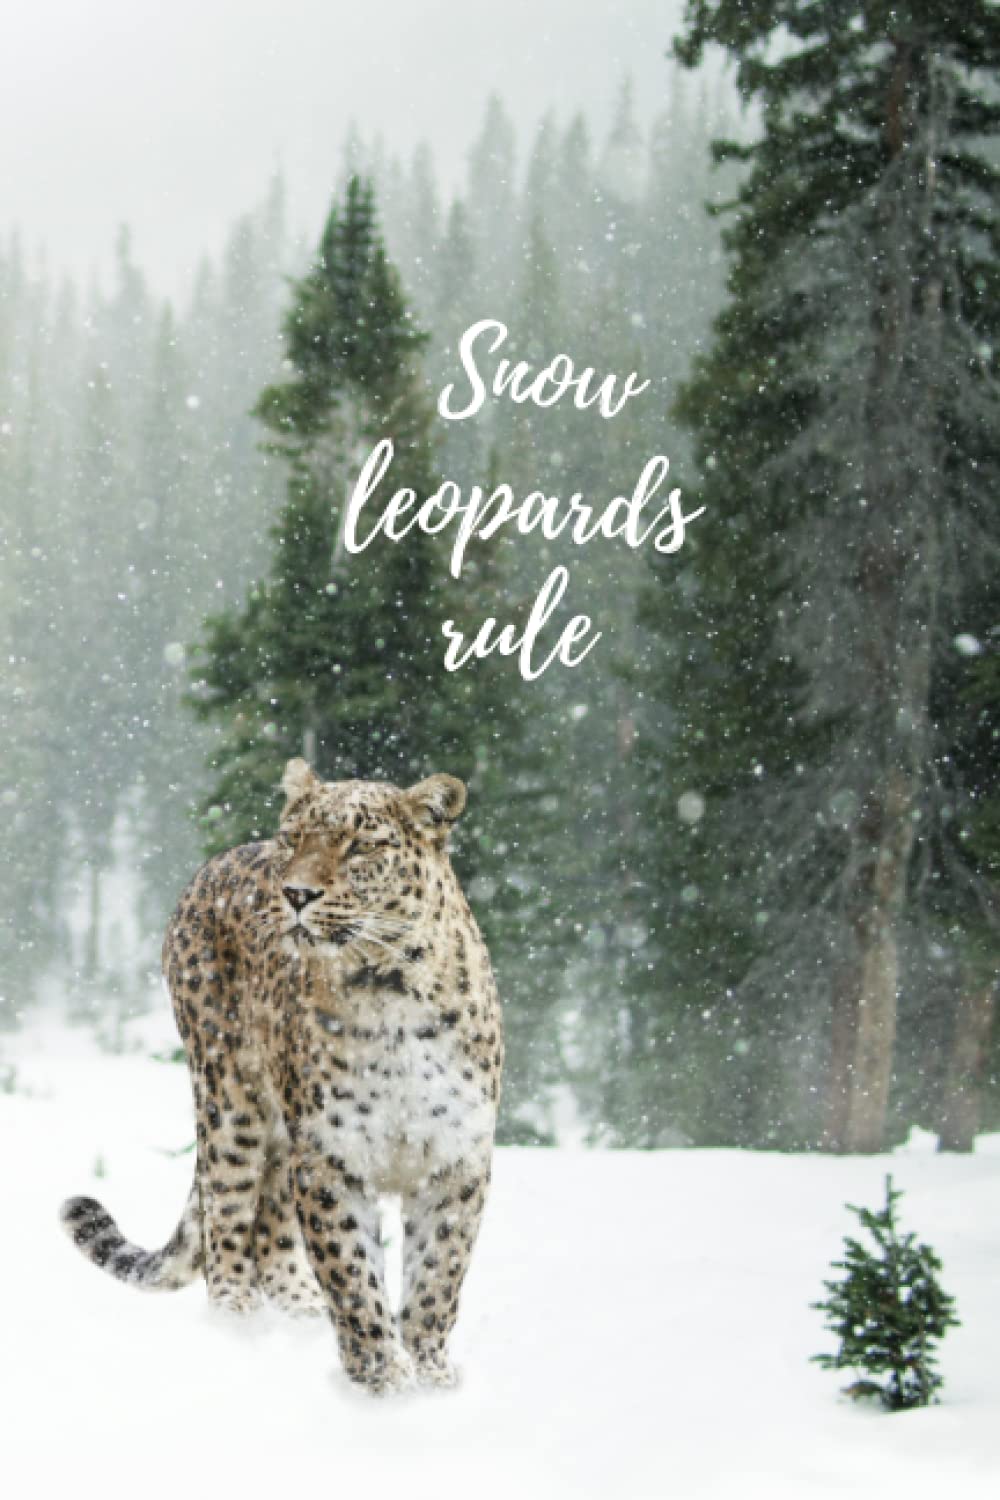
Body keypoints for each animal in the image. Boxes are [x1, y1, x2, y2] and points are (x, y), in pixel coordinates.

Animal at [61, 758, 503, 1394]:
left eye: (360, 845)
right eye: (295, 839)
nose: (295, 893)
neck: (388, 989)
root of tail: (215, 862)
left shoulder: (455, 1159)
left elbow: (437, 1277)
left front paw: (430, 1377)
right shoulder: (329, 1157)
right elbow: (352, 1275)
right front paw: (382, 1382)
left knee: (269, 1224)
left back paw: (298, 1313)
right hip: (229, 1100)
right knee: (226, 1216)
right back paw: (238, 1327)